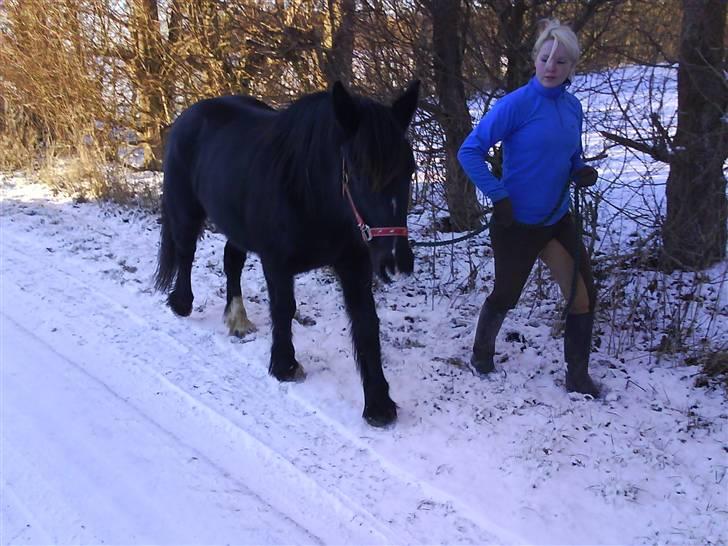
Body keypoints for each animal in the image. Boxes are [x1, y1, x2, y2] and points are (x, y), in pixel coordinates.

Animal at [154, 81, 420, 427]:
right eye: (358, 171)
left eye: (410, 170)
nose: (396, 260)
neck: (310, 194)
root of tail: (190, 114)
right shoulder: (276, 262)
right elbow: (283, 308)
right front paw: (284, 366)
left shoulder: (355, 265)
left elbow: (365, 323)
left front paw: (378, 403)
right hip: (187, 210)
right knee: (186, 252)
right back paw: (182, 303)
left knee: (232, 260)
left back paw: (238, 319)